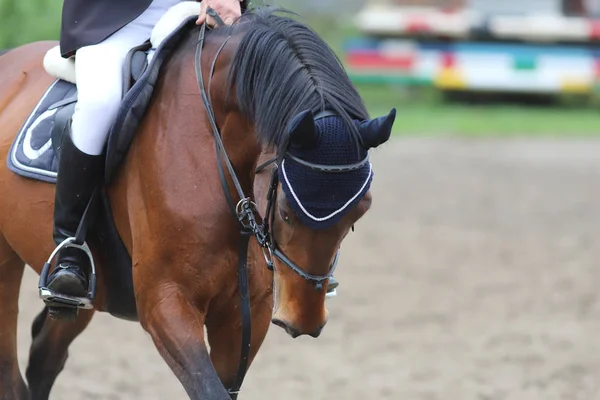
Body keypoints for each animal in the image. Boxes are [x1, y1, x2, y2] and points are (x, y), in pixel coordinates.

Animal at [0, 6, 394, 400]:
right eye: (284, 211)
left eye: (360, 211)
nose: (304, 320)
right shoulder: (166, 303)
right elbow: (207, 388)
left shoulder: (246, 312)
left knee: (45, 356)